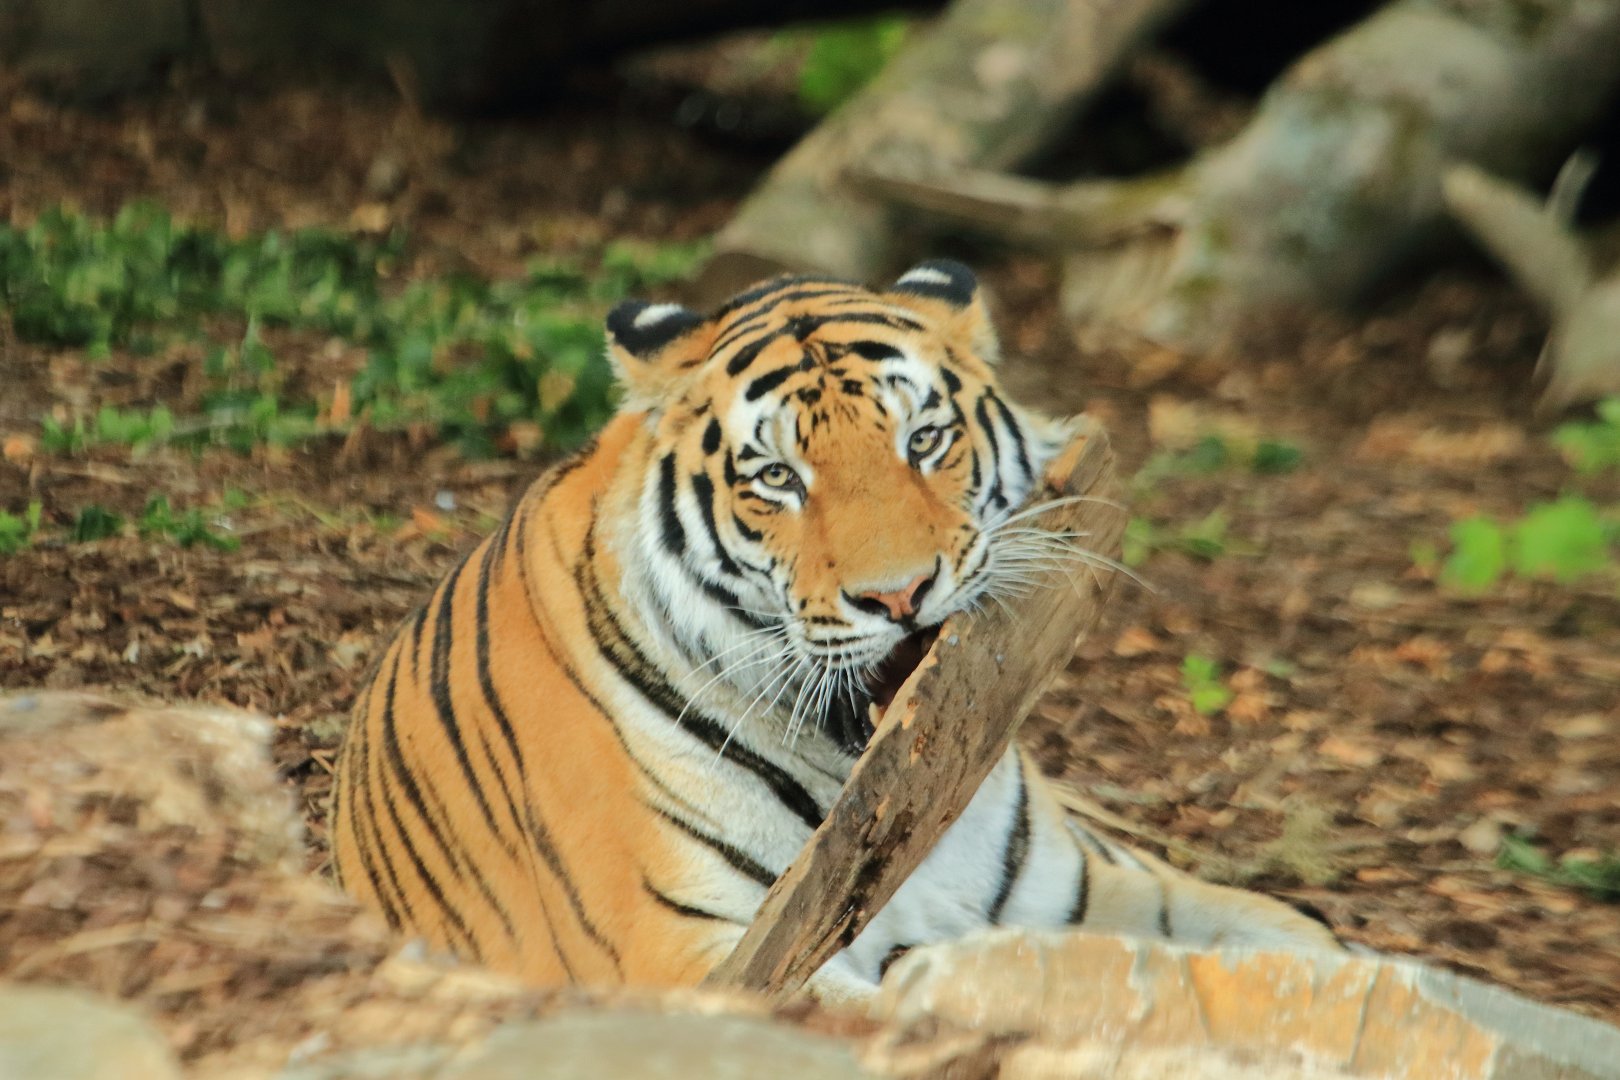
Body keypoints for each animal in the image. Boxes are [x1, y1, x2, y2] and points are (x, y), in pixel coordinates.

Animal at [329, 259, 1340, 1002]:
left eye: (924, 440)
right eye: (777, 477)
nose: (900, 597)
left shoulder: (1078, 891)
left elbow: (1295, 941)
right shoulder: (691, 957)